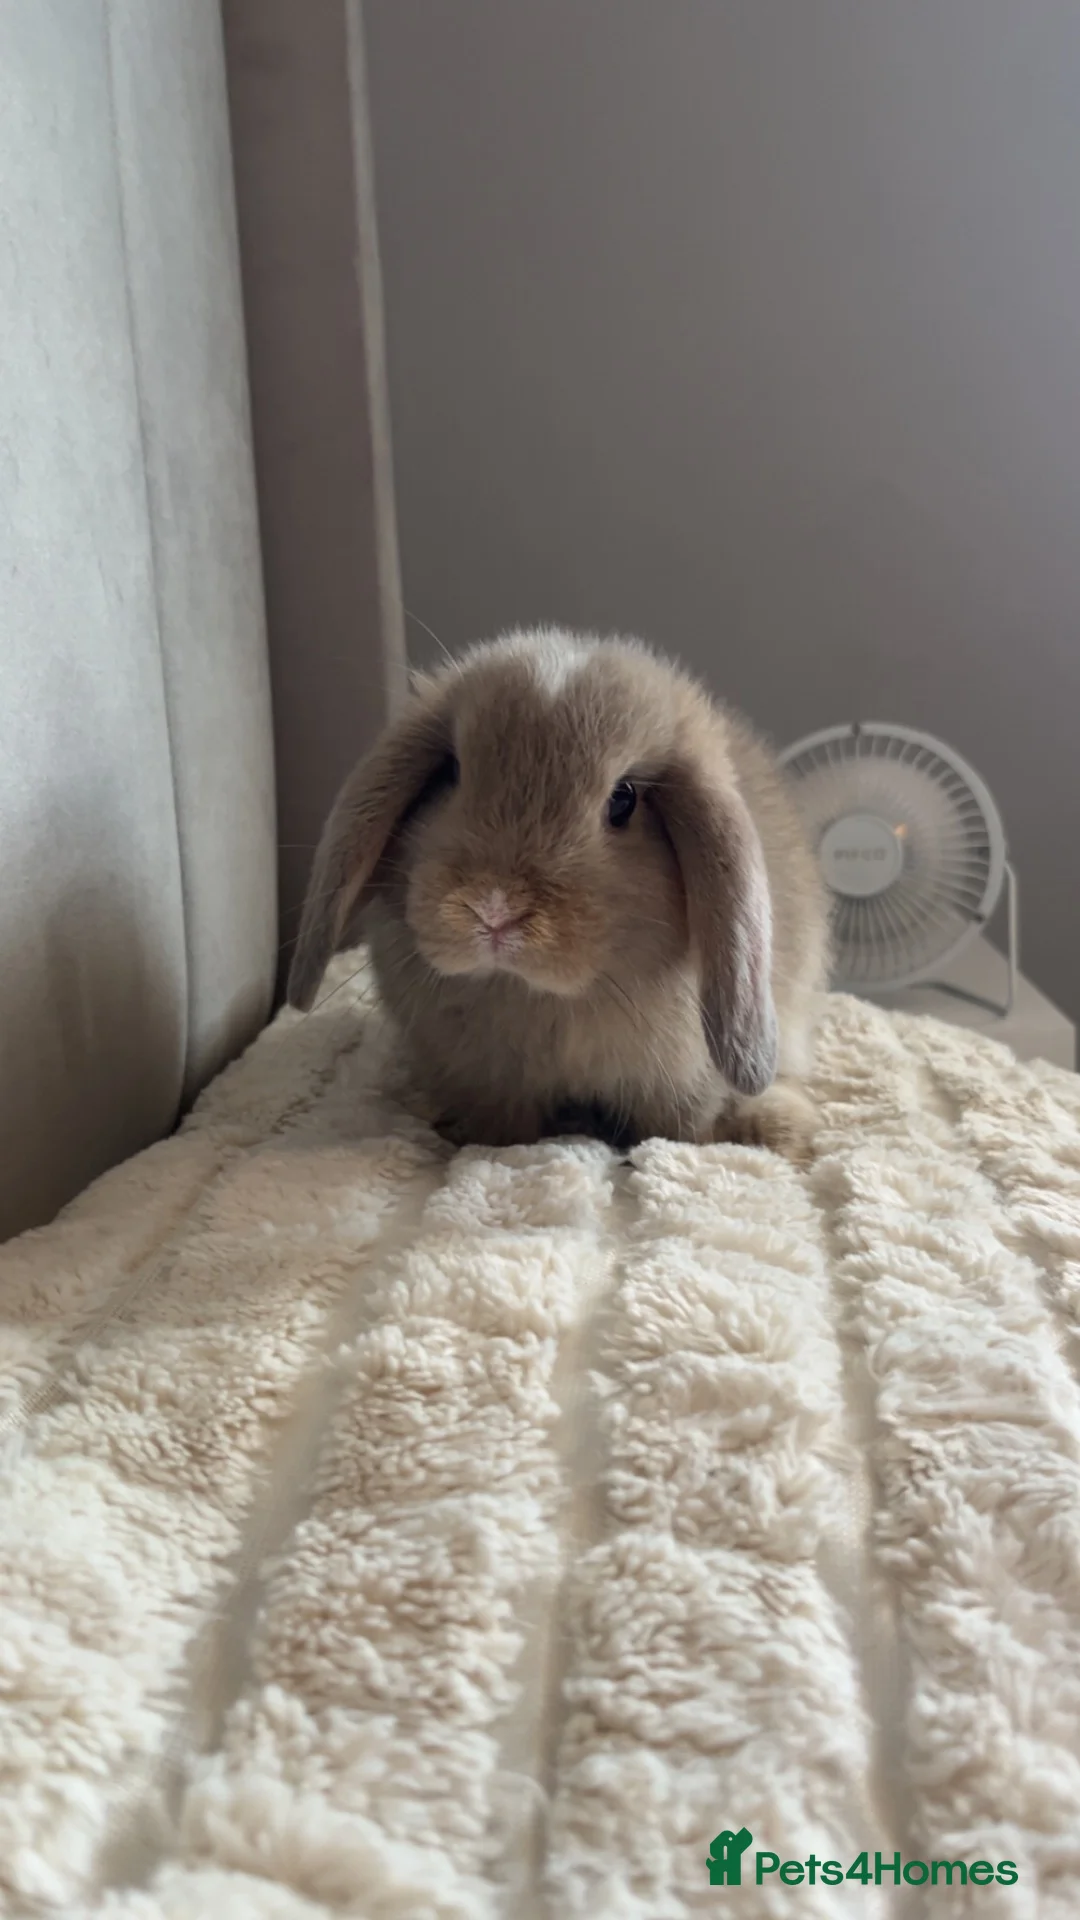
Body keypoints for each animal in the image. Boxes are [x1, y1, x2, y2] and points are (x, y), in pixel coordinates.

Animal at [287, 627, 830, 1161]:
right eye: (451, 773)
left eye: (624, 800)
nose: (494, 911)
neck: (539, 997)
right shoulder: (488, 1085)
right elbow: (503, 1132)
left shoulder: (682, 1087)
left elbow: (674, 1132)